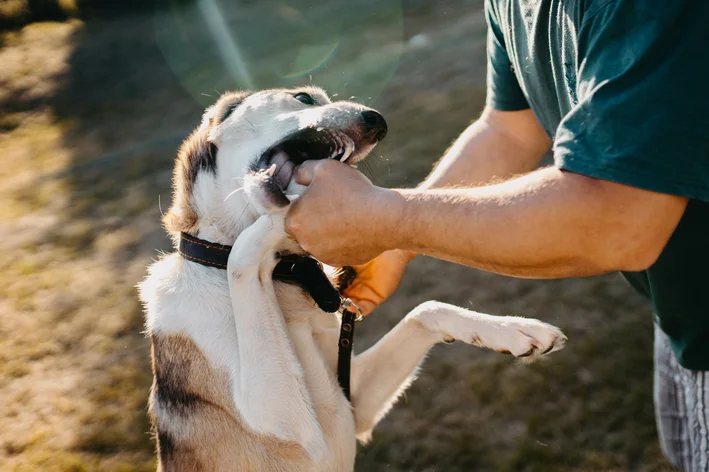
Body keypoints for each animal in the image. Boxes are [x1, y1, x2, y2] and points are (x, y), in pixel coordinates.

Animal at [140, 86, 564, 470]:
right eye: (303, 97)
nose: (376, 121)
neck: (282, 277)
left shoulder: (351, 401)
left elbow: (426, 310)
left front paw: (515, 331)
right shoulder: (283, 421)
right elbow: (242, 260)